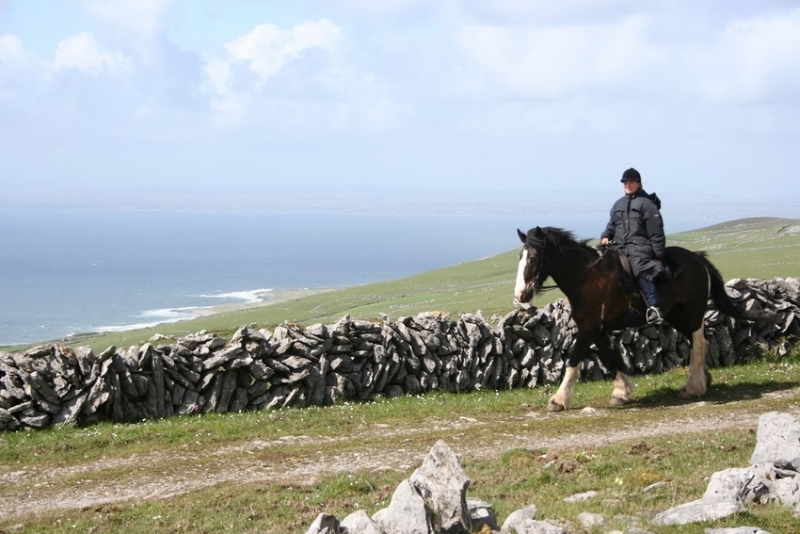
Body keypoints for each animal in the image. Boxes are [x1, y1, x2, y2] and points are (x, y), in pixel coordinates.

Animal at [516, 226, 772, 414]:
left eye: (534, 258)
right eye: (519, 257)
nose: (521, 295)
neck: (588, 277)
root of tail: (698, 260)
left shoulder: (589, 328)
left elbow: (573, 360)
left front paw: (558, 400)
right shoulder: (596, 328)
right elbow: (610, 358)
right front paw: (621, 392)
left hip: (692, 314)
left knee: (699, 343)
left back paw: (693, 387)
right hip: (677, 316)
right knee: (701, 342)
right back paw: (703, 380)